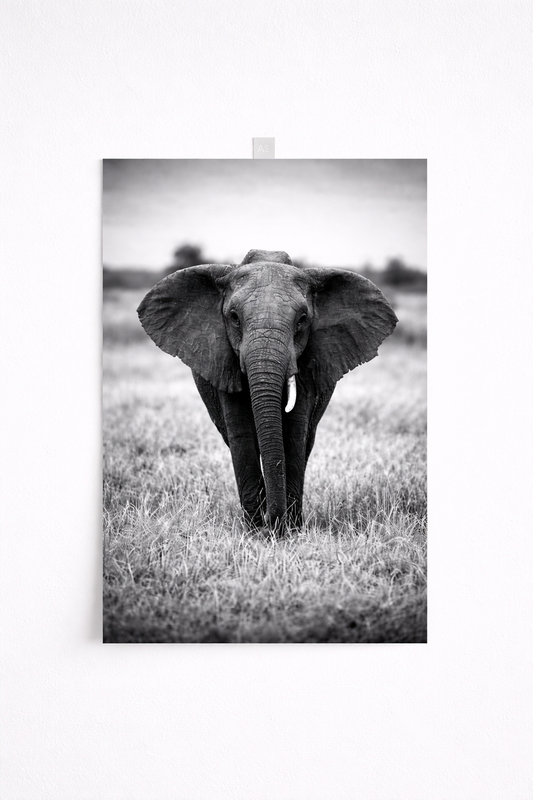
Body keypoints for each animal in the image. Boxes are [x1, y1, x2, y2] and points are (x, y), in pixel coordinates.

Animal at [137, 249, 397, 533]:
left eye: (302, 320)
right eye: (234, 318)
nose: (272, 524)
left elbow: (294, 435)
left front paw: (289, 531)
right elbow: (241, 435)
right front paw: (254, 531)